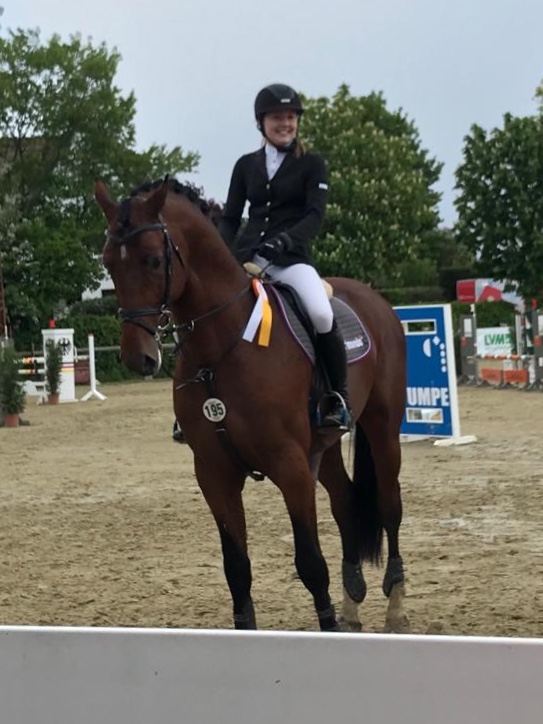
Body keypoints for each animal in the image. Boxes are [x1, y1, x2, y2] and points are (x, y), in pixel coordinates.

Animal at [95, 177, 409, 634]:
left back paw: (395, 606)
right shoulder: (215, 474)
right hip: (326, 444)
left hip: (383, 427)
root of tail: (375, 298)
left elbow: (311, 564)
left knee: (389, 505)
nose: (139, 358)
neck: (219, 350)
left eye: (153, 260)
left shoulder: (290, 466)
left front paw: (329, 624)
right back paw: (352, 604)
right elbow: (236, 569)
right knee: (346, 502)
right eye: (108, 264)